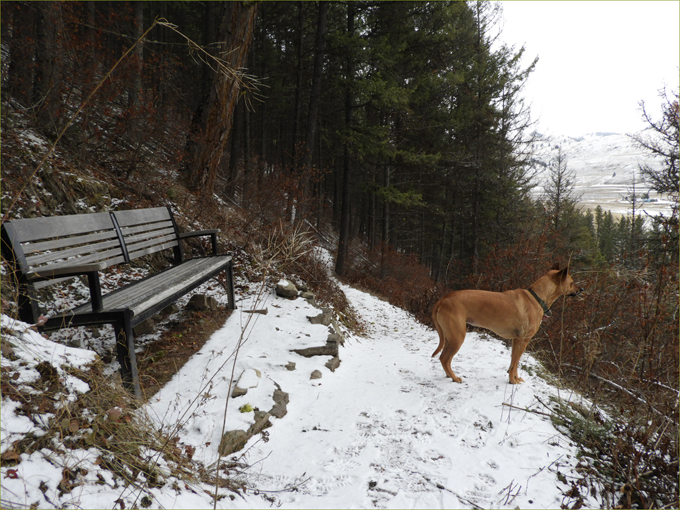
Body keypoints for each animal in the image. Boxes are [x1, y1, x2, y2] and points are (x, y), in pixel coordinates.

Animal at [432, 262, 580, 382]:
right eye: (572, 282)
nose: (581, 289)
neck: (537, 298)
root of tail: (443, 299)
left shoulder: (516, 340)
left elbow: (514, 362)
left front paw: (516, 378)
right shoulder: (523, 340)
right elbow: (515, 363)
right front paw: (513, 381)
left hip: (450, 337)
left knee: (444, 359)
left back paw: (449, 375)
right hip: (457, 337)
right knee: (444, 358)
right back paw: (454, 377)